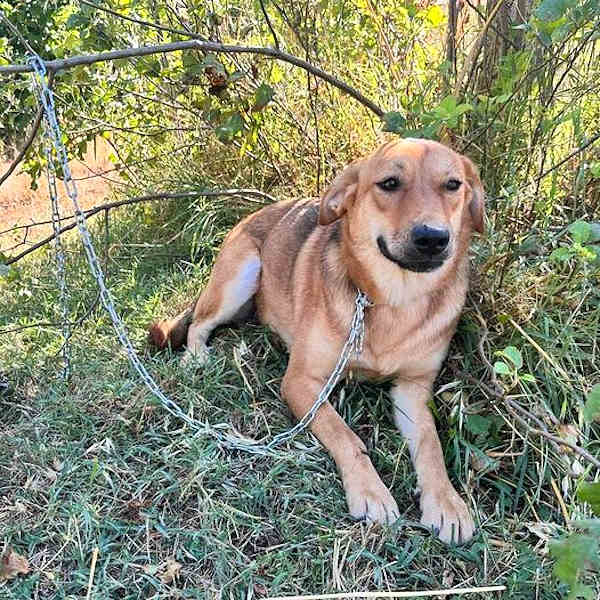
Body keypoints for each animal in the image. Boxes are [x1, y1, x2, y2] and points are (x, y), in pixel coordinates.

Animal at [150, 139, 482, 544]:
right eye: (389, 183)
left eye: (452, 185)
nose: (433, 238)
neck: (393, 300)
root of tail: (255, 213)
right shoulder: (301, 383)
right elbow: (345, 435)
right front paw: (370, 491)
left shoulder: (412, 390)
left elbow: (431, 446)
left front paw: (446, 501)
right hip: (240, 275)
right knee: (199, 323)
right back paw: (196, 357)